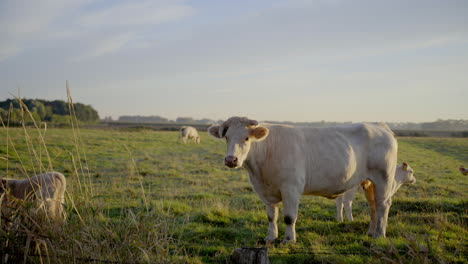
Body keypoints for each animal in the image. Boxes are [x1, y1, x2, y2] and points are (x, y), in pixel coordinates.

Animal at [209, 116, 398, 242]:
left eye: (246, 138)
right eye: (226, 137)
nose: (231, 159)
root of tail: (379, 125)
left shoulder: (291, 188)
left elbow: (289, 217)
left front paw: (288, 240)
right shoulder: (266, 191)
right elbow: (271, 216)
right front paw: (270, 238)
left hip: (383, 178)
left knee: (383, 205)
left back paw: (380, 235)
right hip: (369, 182)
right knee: (373, 206)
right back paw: (371, 232)